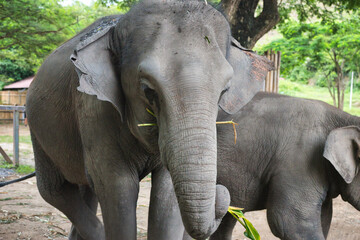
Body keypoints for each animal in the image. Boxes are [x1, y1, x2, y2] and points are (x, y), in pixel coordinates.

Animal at [26, 0, 272, 239]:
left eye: (224, 91)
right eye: (148, 90)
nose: (223, 191)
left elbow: (166, 192)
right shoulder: (93, 109)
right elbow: (117, 187)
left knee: (87, 190)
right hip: (37, 129)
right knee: (55, 190)